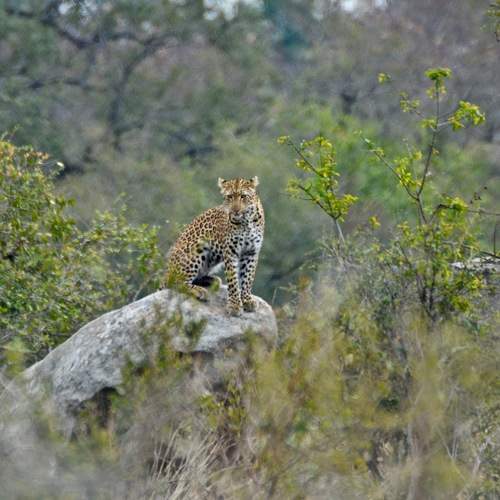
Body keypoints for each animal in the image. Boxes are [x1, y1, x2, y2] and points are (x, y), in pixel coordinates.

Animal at [164, 176, 264, 317]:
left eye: (243, 196)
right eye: (229, 197)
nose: (235, 210)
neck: (246, 222)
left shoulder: (251, 252)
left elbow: (248, 277)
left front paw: (247, 300)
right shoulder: (231, 251)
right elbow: (233, 280)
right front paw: (234, 305)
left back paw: (212, 281)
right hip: (197, 248)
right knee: (174, 281)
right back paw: (199, 291)